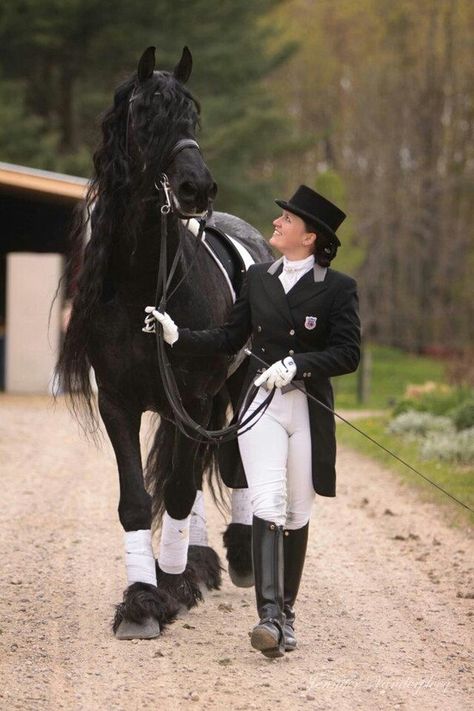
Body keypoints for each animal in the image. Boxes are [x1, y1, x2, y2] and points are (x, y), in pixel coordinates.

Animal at [56, 48, 272, 640]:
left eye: (193, 116)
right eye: (144, 115)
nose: (198, 188)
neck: (143, 292)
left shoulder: (192, 402)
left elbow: (177, 490)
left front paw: (170, 587)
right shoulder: (120, 403)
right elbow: (137, 501)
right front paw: (142, 599)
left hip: (236, 392)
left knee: (225, 471)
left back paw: (232, 557)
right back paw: (196, 563)